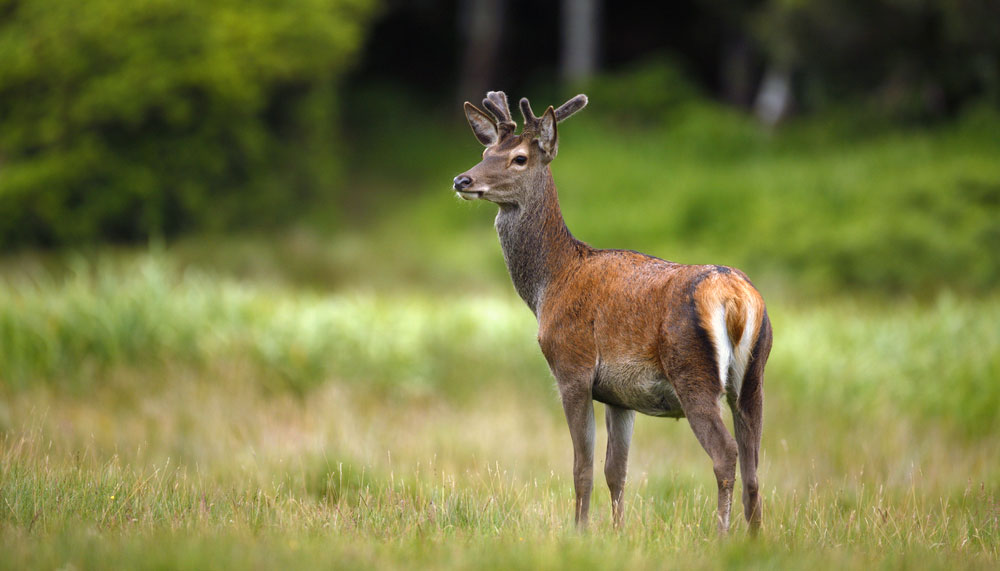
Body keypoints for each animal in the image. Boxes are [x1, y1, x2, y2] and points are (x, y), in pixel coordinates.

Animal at [452, 91, 773, 534]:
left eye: (519, 158)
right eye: (485, 152)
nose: (462, 180)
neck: (551, 282)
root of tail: (736, 299)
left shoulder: (573, 367)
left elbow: (582, 468)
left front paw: (580, 532)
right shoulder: (621, 395)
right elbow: (615, 471)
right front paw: (619, 533)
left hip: (693, 372)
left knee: (726, 454)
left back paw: (723, 535)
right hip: (754, 376)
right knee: (755, 466)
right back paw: (754, 540)